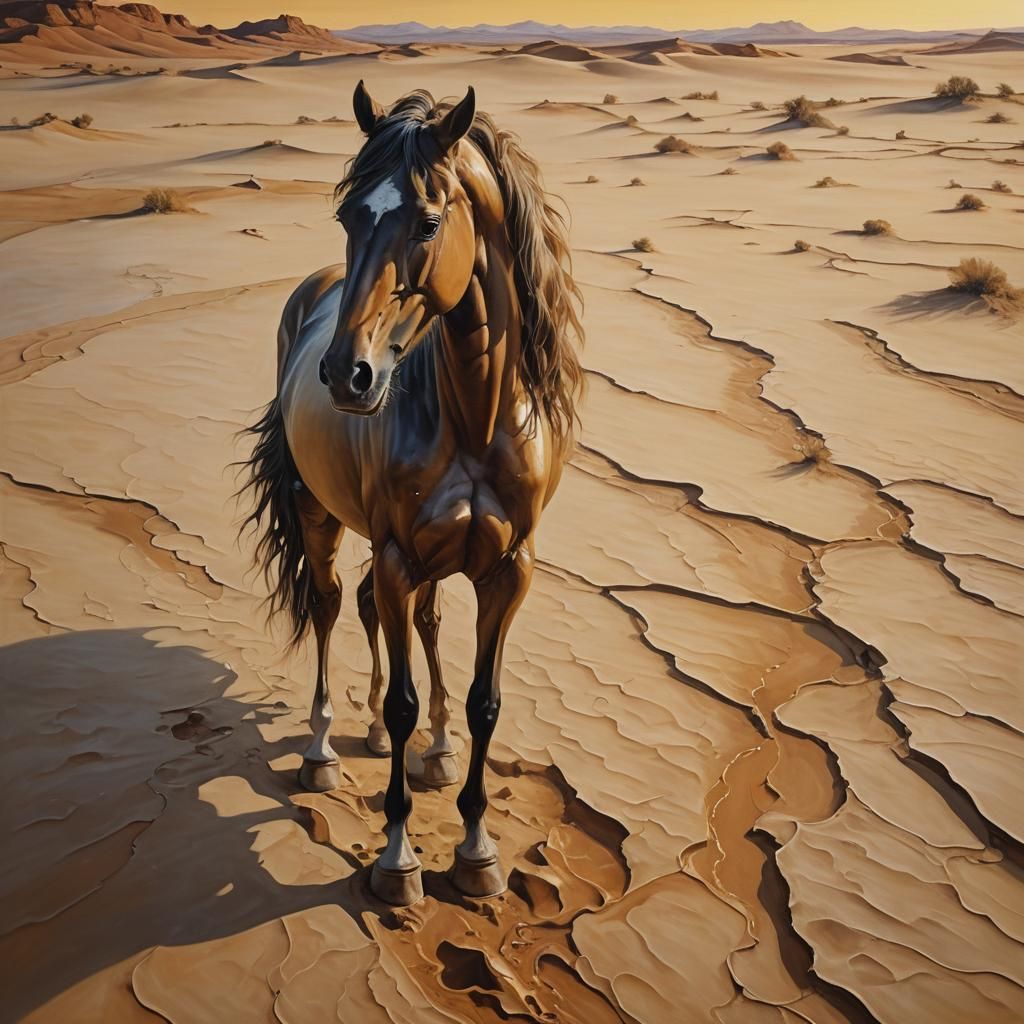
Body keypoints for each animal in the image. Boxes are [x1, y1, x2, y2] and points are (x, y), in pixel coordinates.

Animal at [239, 81, 583, 906]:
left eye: (428, 222)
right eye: (347, 217)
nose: (347, 375)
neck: (476, 416)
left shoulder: (506, 570)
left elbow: (484, 701)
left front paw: (477, 849)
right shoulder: (398, 555)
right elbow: (397, 698)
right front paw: (398, 860)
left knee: (409, 620)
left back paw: (433, 746)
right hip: (322, 515)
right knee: (332, 605)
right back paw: (325, 748)